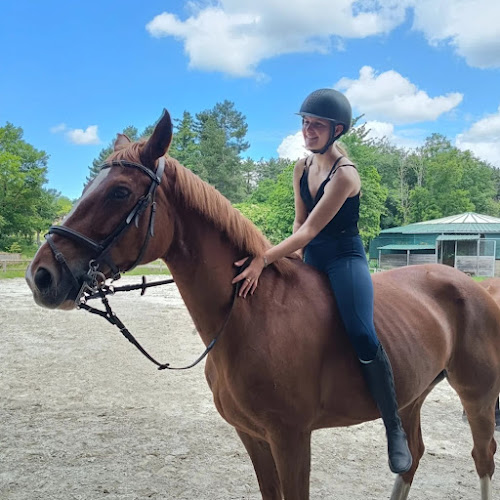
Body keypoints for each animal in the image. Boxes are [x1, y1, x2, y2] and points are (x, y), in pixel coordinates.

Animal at [26, 110, 500, 500]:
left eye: (120, 192)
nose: (41, 276)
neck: (248, 317)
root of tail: (476, 289)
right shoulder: (252, 435)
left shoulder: (290, 437)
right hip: (411, 396)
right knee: (412, 457)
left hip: (476, 395)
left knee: (483, 458)